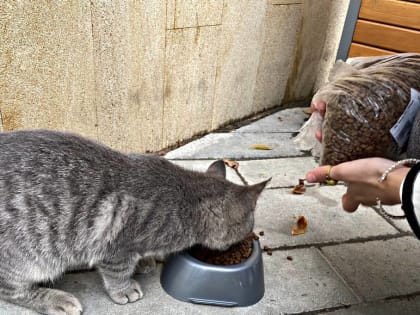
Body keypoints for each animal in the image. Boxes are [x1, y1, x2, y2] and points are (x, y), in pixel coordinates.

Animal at [0, 130, 270, 314]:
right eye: (246, 230)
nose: (246, 242)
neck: (185, 197)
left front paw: (144, 261)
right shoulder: (116, 246)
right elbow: (117, 271)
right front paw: (124, 288)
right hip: (26, 259)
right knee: (10, 291)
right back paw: (54, 299)